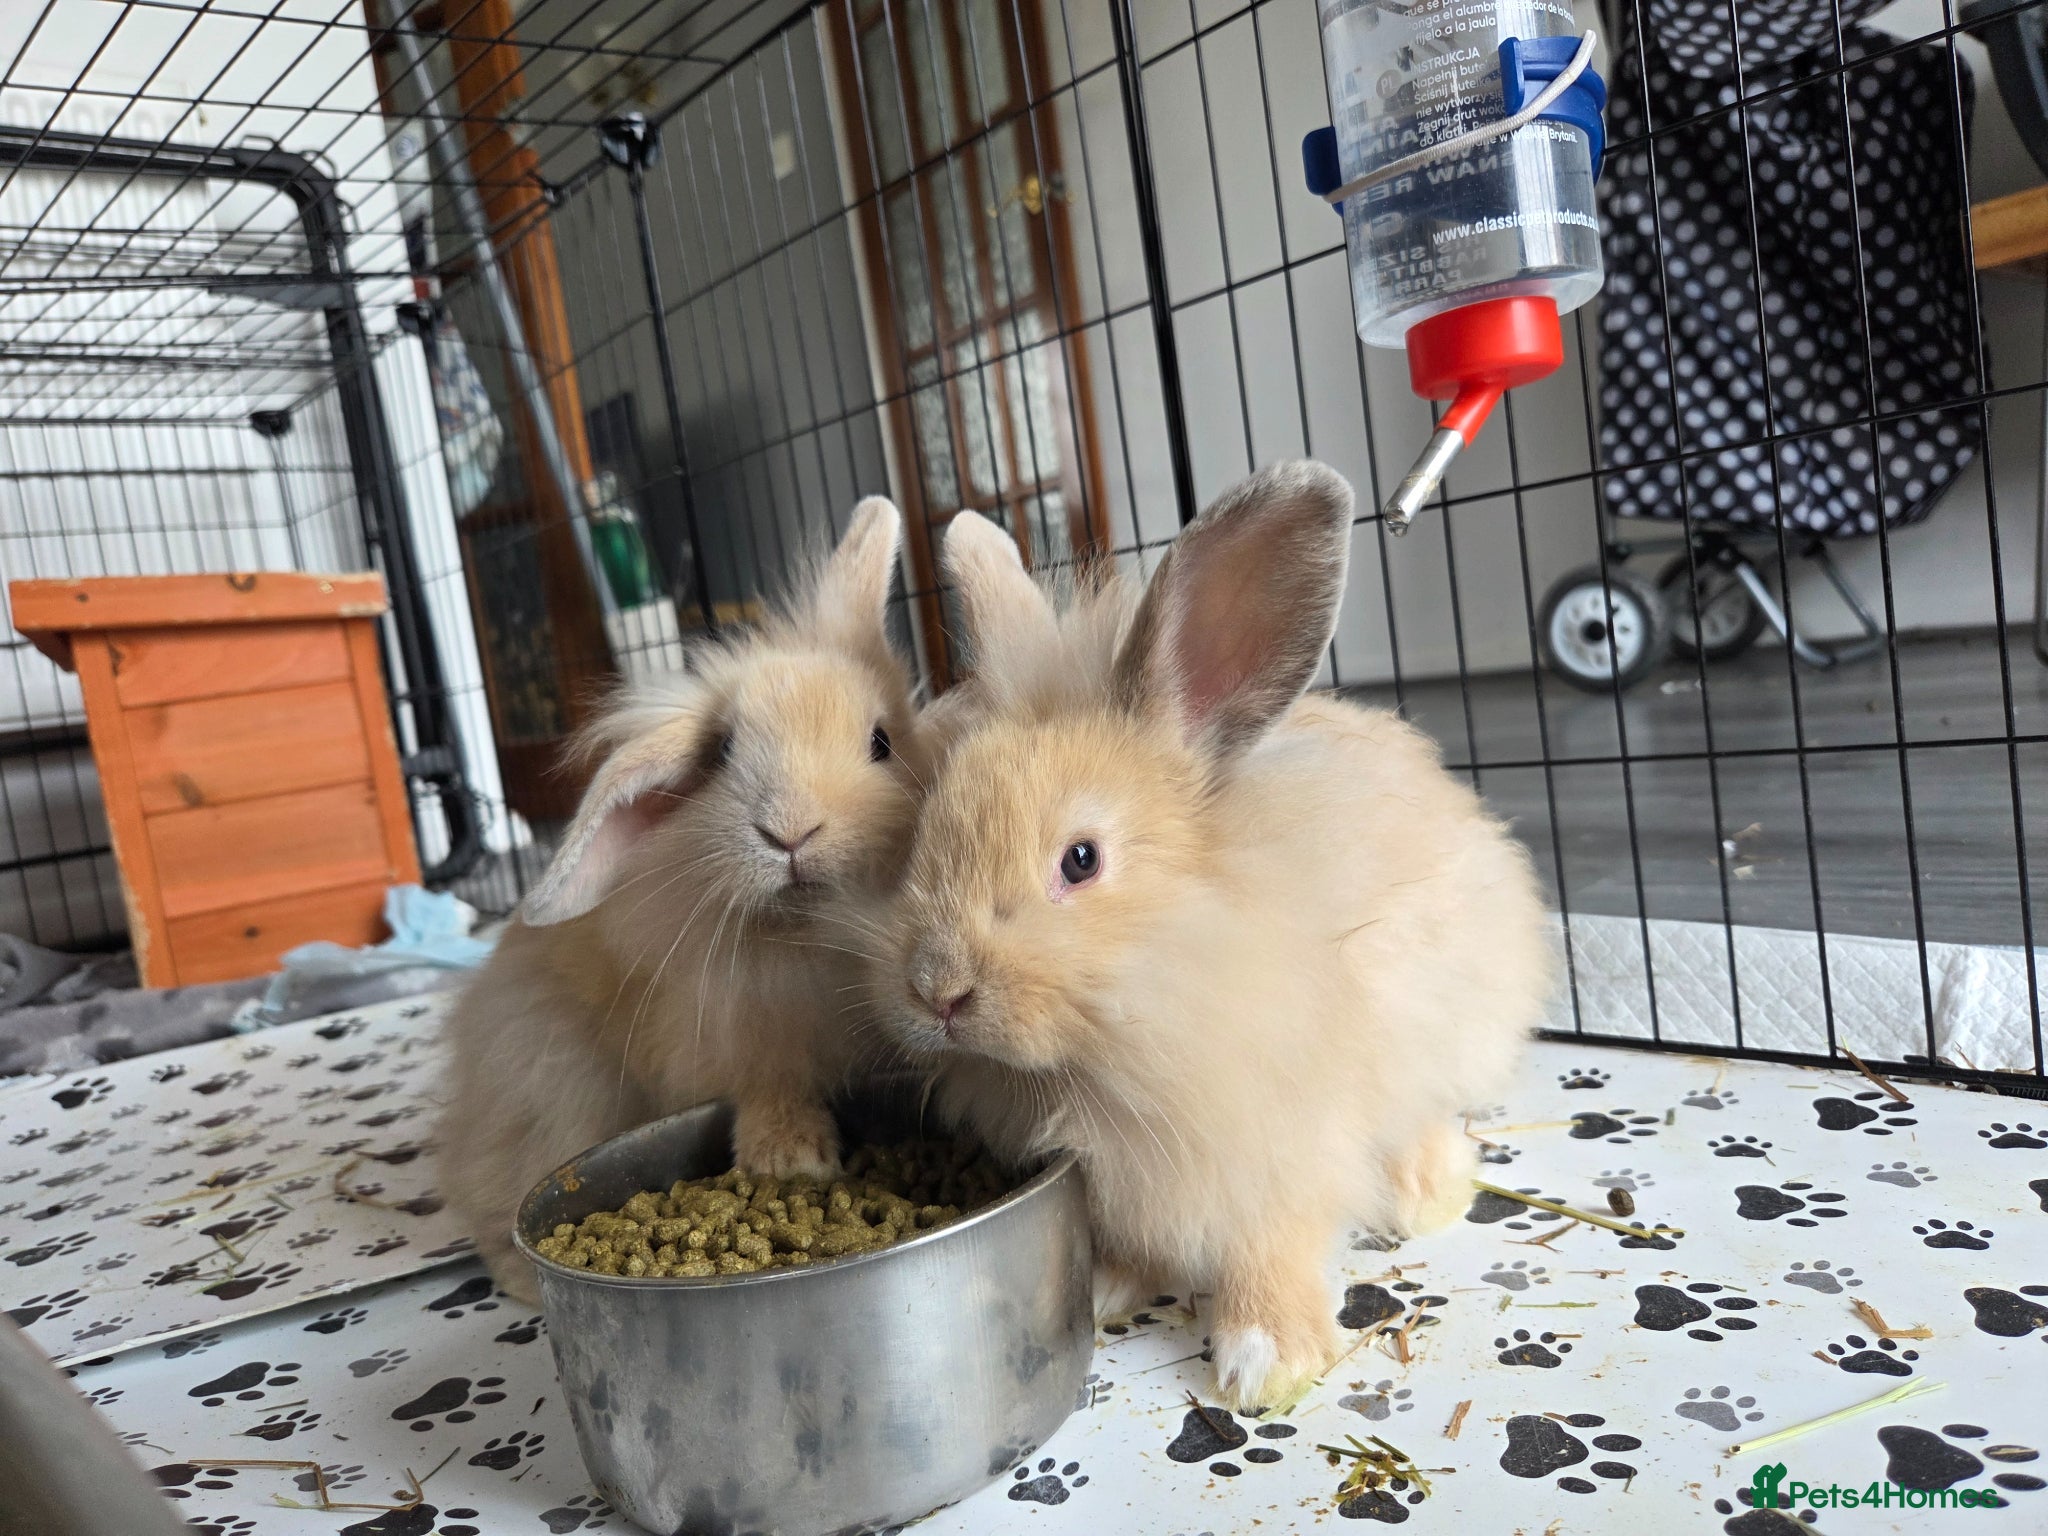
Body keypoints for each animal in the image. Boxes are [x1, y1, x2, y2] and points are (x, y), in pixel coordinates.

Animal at [438, 496, 935, 1303]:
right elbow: (765, 1082)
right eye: (724, 751)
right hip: (547, 1084)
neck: (806, 937)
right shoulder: (725, 1038)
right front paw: (790, 1159)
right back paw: (520, 1278)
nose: (791, 830)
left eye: (882, 743)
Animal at [871, 461, 1554, 1410]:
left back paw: (1426, 1191)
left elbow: (1275, 1245)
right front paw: (1111, 1284)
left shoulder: (1284, 1151)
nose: (938, 989)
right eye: (927, 832)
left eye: (1081, 860)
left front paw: (1268, 1360)